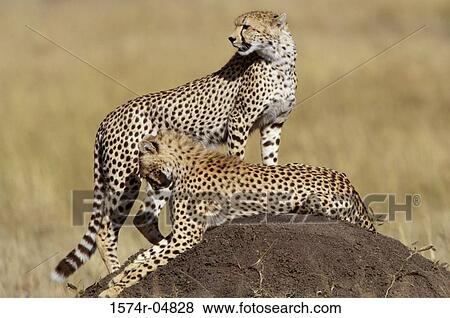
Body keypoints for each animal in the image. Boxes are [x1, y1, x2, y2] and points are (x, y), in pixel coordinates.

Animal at [52, 11, 298, 282]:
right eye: (237, 25)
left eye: (246, 26)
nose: (231, 38)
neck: (278, 59)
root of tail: (107, 117)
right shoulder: (238, 121)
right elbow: (239, 158)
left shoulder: (273, 124)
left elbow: (270, 159)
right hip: (126, 179)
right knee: (106, 230)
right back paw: (118, 272)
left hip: (159, 176)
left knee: (144, 218)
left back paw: (161, 246)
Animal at [99, 130, 376, 296]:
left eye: (142, 165)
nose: (147, 182)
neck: (182, 165)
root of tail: (349, 183)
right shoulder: (180, 234)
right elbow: (144, 256)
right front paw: (117, 278)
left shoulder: (187, 236)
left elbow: (147, 263)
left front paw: (113, 289)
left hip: (314, 201)